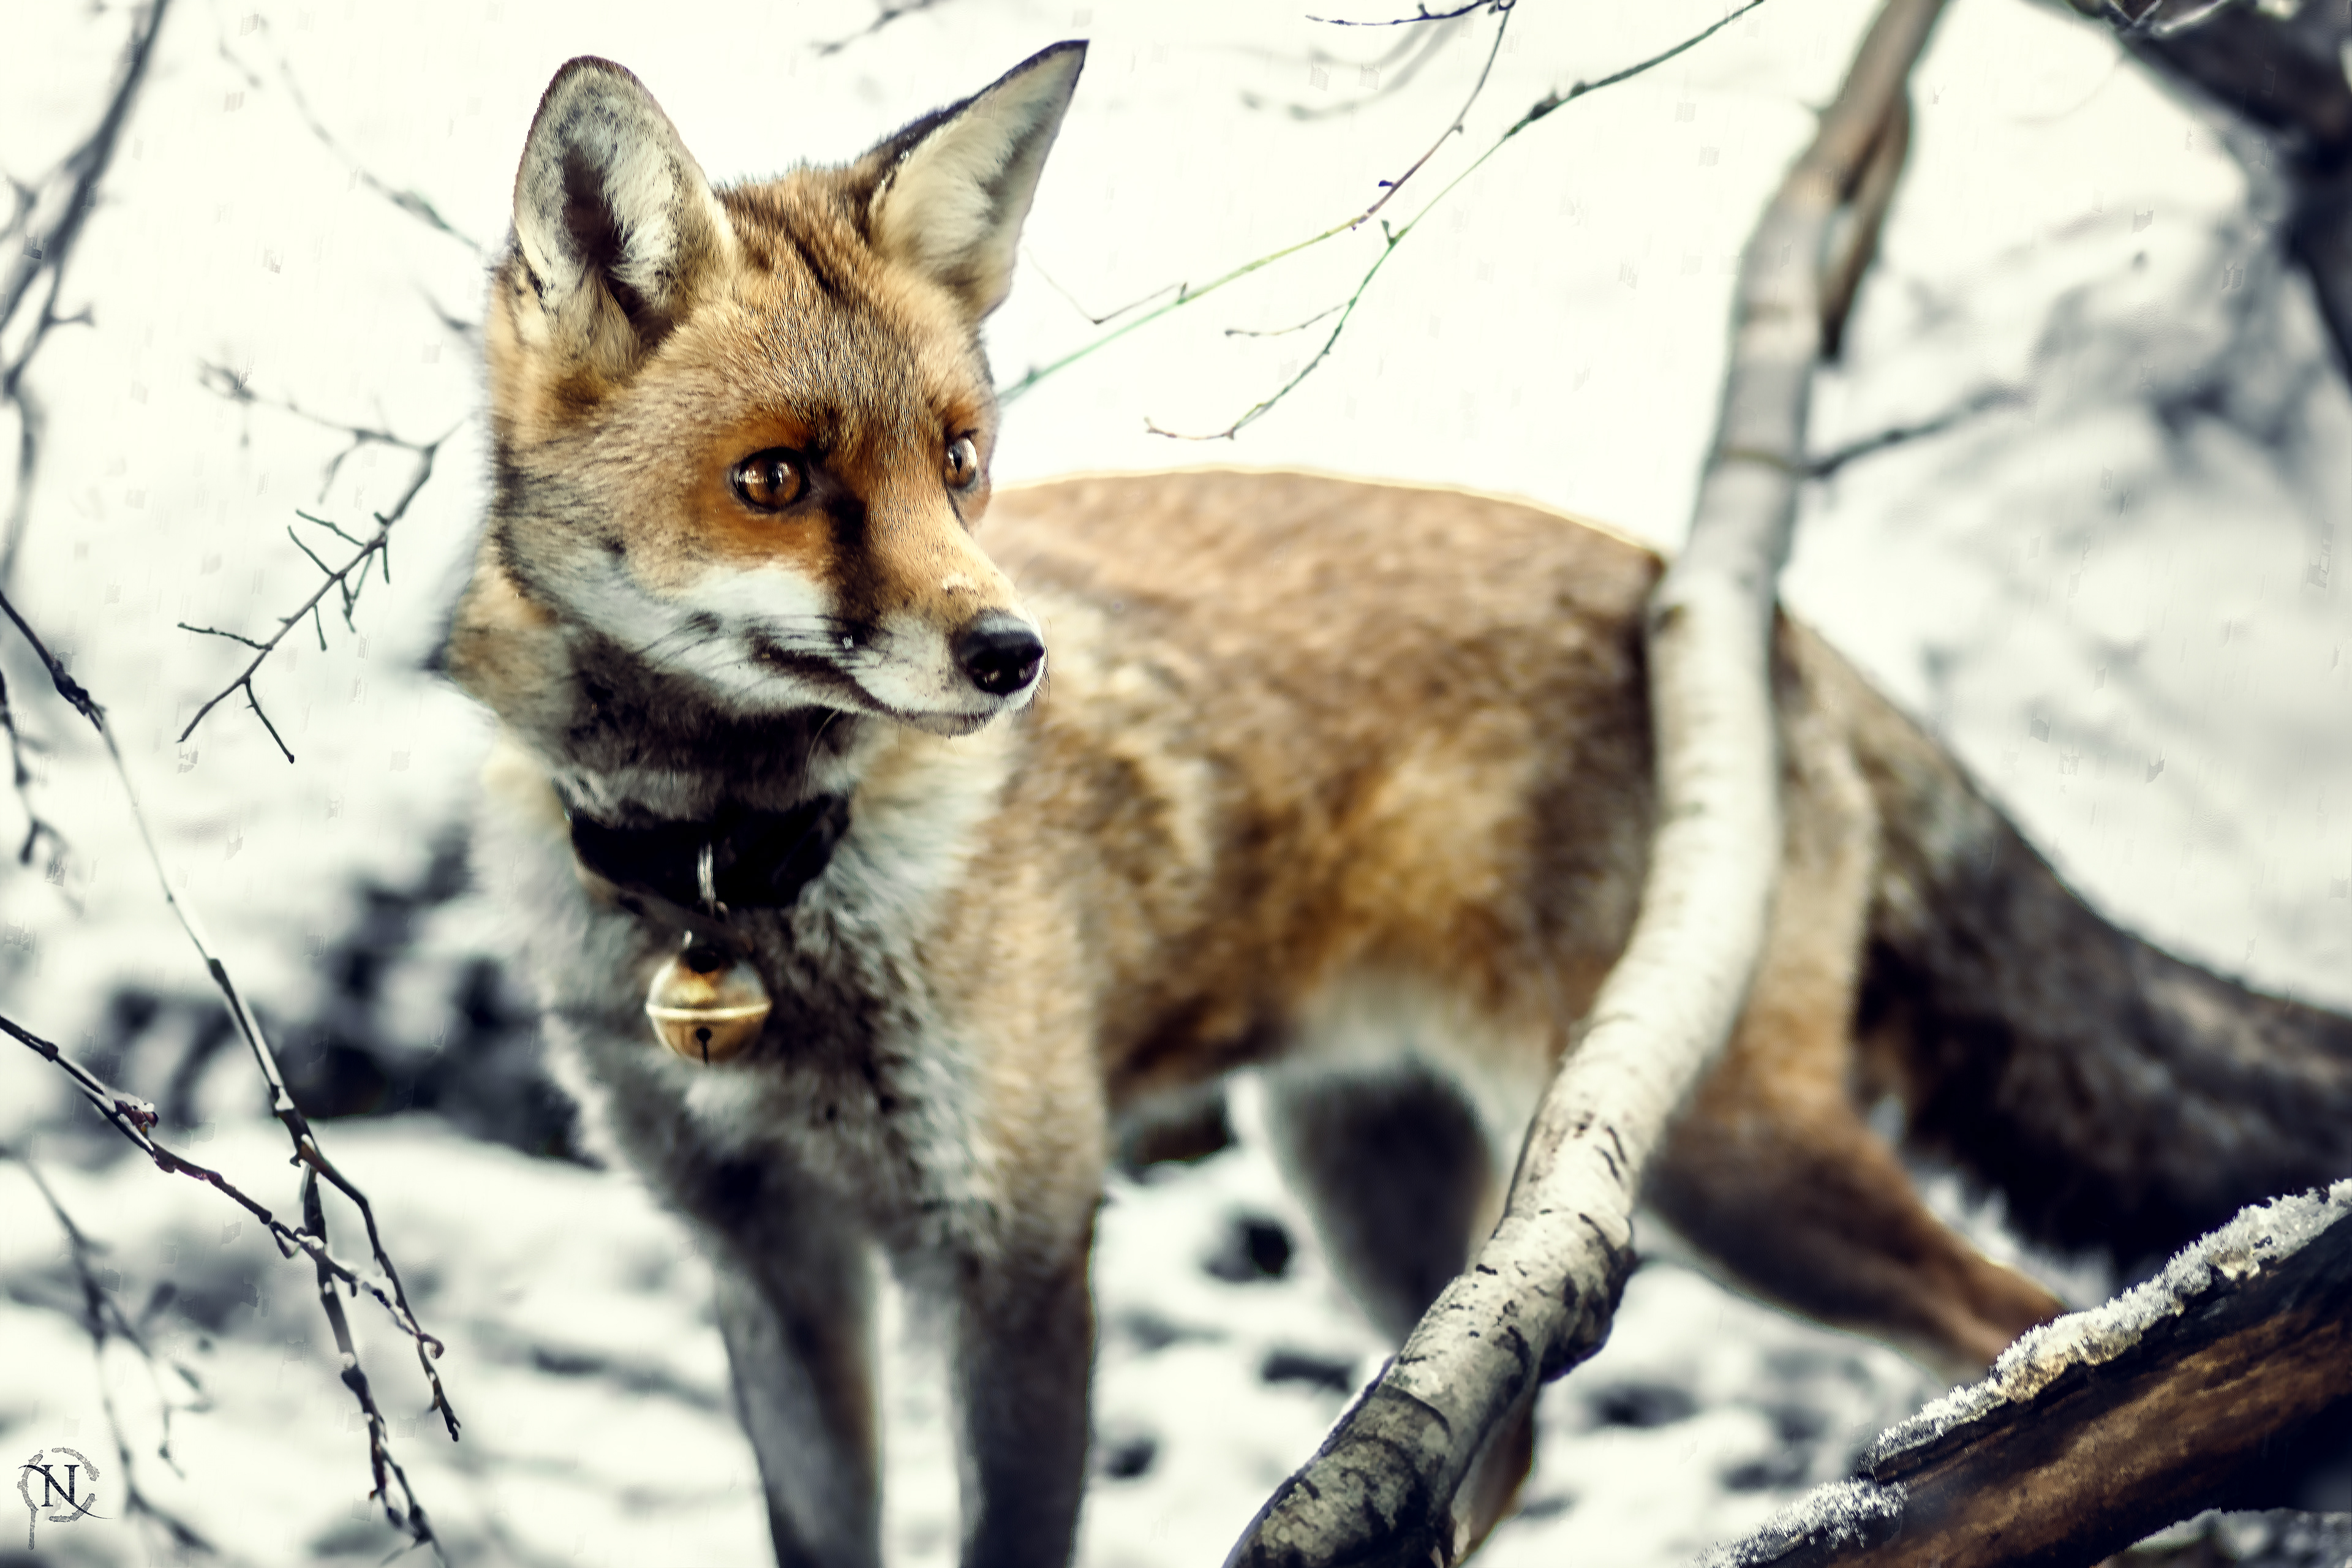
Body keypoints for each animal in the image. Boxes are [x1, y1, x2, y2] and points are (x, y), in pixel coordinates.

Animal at [445, 40, 2352, 1568]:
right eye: (776, 480)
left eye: (959, 460)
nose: (1011, 655)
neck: (730, 887)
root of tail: (1733, 606)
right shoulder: (769, 1266)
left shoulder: (1019, 1255)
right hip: (1372, 1183)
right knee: (1498, 1459)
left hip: (1729, 1161)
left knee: (2043, 1345)